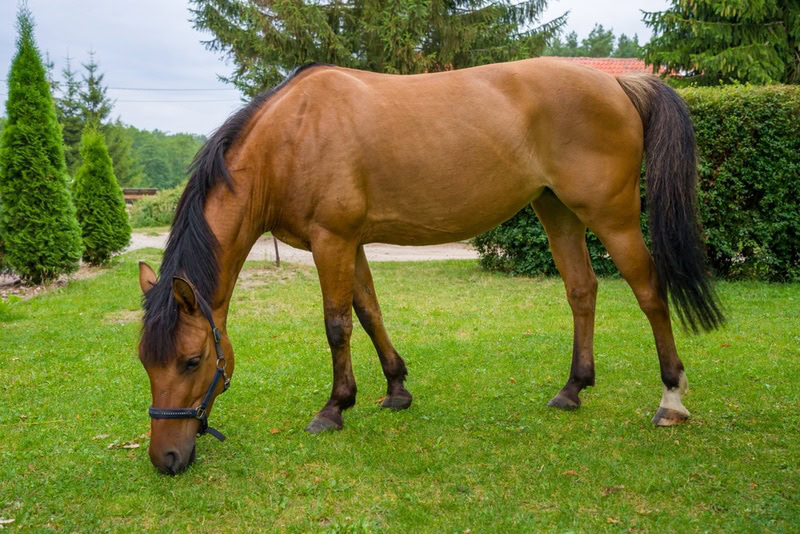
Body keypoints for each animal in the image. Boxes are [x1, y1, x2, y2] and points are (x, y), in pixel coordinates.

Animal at [137, 58, 724, 474]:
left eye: (192, 361)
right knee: (582, 290)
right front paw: (396, 389)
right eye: (145, 362)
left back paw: (672, 399)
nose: (166, 460)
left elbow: (337, 324)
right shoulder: (351, 243)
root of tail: (620, 84)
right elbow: (369, 311)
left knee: (649, 291)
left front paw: (334, 408)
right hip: (556, 210)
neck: (292, 135)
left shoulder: (332, 241)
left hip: (611, 216)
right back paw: (572, 389)